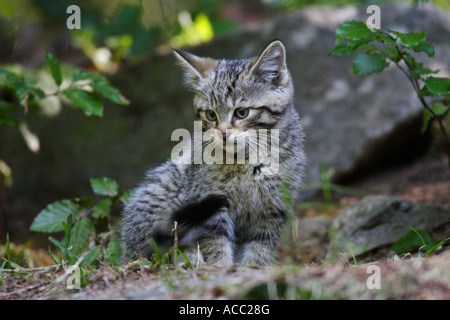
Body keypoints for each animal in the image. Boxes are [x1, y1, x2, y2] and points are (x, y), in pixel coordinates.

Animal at [121, 39, 306, 264]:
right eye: (211, 115)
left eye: (242, 112)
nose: (223, 133)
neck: (246, 160)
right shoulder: (210, 198)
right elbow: (215, 240)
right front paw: (220, 266)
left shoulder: (273, 207)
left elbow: (261, 246)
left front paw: (252, 266)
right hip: (164, 188)